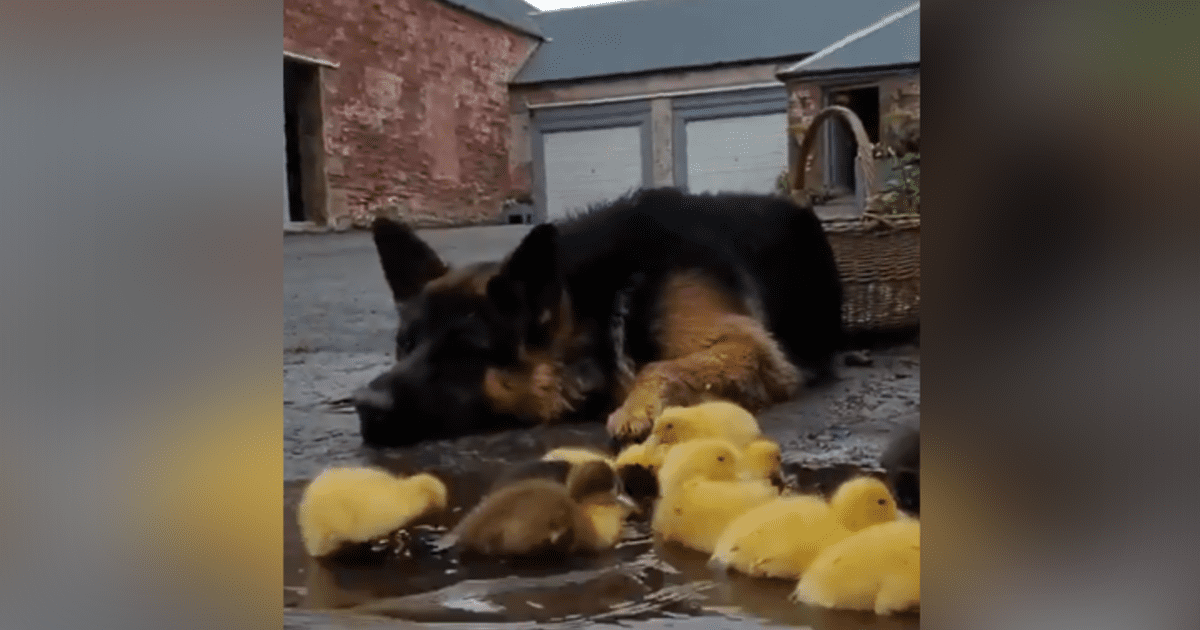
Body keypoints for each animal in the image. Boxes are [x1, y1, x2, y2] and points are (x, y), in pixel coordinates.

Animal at [355, 187, 844, 446]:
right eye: (404, 344)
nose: (364, 405)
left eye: (465, 351)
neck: (601, 297)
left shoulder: (753, 348)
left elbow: (658, 365)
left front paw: (639, 406)